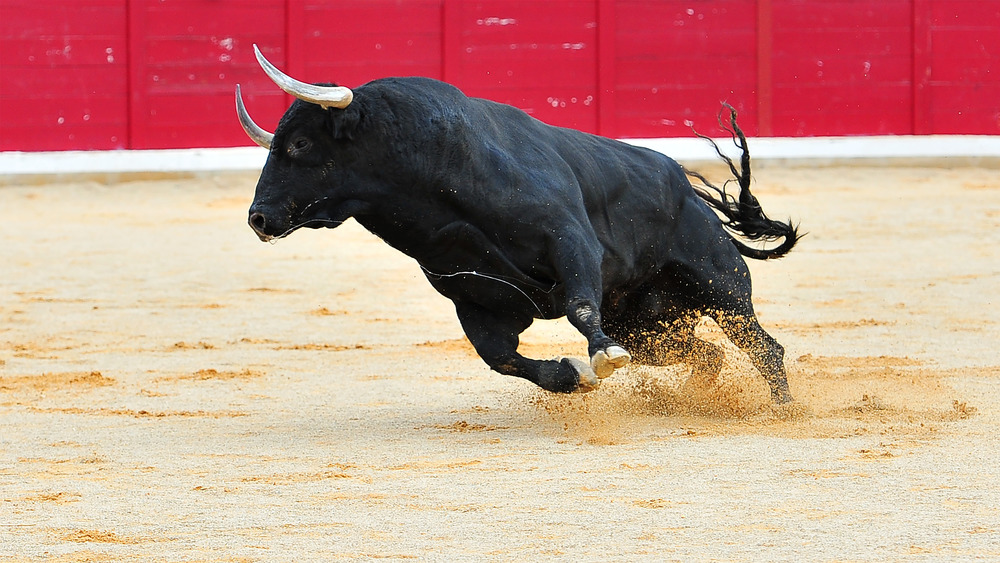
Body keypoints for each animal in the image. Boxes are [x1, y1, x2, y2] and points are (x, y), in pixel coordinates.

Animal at [238, 46, 800, 404]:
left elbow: (578, 306)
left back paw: (781, 408)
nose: (259, 217)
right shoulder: (475, 300)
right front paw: (574, 376)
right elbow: (501, 358)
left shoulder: (571, 243)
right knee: (707, 355)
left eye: (300, 143)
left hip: (719, 284)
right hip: (645, 323)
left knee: (762, 345)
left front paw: (600, 358)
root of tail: (686, 188)